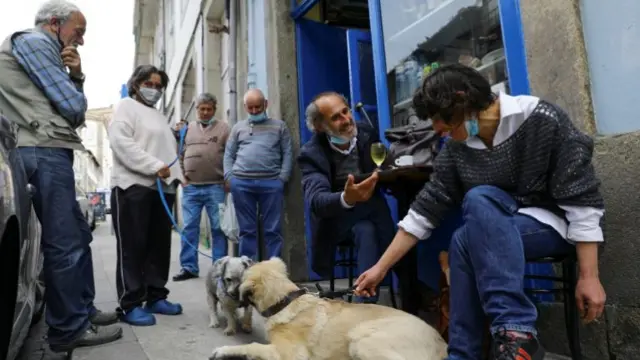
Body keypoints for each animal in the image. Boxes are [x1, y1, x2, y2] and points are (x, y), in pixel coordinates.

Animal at [209, 258, 444, 360]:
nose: (228, 294)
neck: (286, 300)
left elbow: (253, 346)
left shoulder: (291, 355)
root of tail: (441, 344)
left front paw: (223, 351)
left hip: (360, 337)